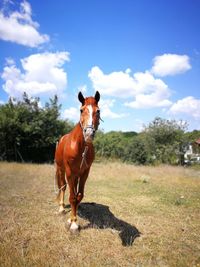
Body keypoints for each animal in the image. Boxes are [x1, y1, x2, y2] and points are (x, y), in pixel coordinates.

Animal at [54, 91, 100, 231]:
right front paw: (73, 223)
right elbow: (72, 197)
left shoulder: (85, 173)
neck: (80, 147)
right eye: (81, 110)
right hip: (61, 169)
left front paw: (72, 219)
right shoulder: (69, 172)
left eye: (98, 111)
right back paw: (61, 208)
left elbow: (78, 196)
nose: (89, 133)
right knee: (63, 186)